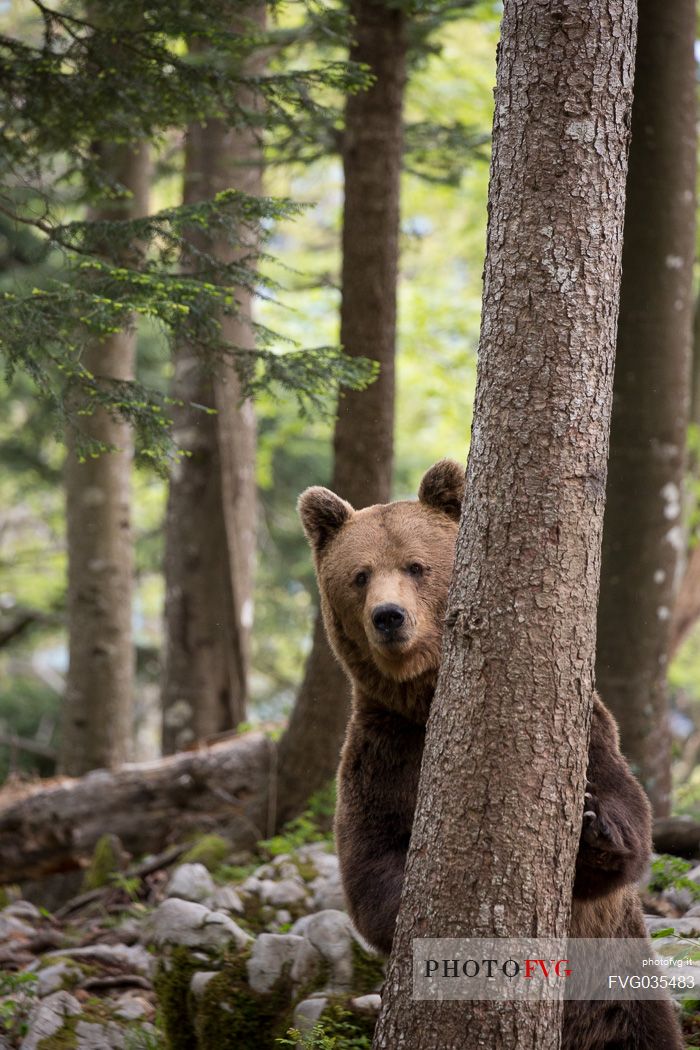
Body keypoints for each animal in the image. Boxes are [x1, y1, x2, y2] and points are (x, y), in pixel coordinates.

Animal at [298, 459, 680, 1050]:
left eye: (416, 566)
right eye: (360, 574)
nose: (389, 616)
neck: (427, 698)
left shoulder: (583, 724)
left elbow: (627, 813)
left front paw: (594, 825)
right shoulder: (383, 753)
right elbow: (370, 867)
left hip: (618, 991)